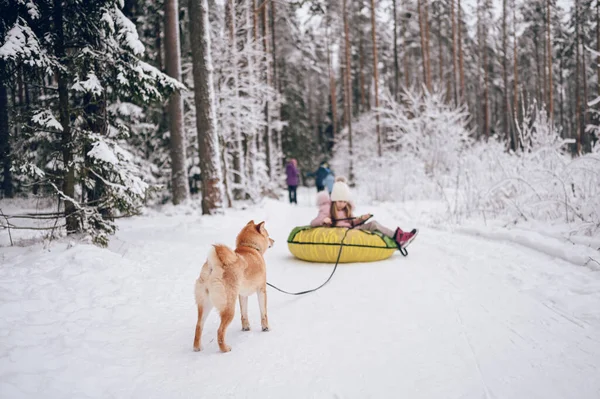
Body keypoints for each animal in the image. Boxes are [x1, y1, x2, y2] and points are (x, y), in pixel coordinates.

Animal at [193, 222, 276, 354]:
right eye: (268, 236)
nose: (274, 241)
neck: (250, 247)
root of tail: (214, 267)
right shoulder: (261, 290)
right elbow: (263, 313)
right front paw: (265, 328)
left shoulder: (242, 295)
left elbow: (244, 314)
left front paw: (246, 327)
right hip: (229, 308)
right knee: (220, 331)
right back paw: (225, 349)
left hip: (205, 305)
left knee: (198, 326)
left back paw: (197, 347)